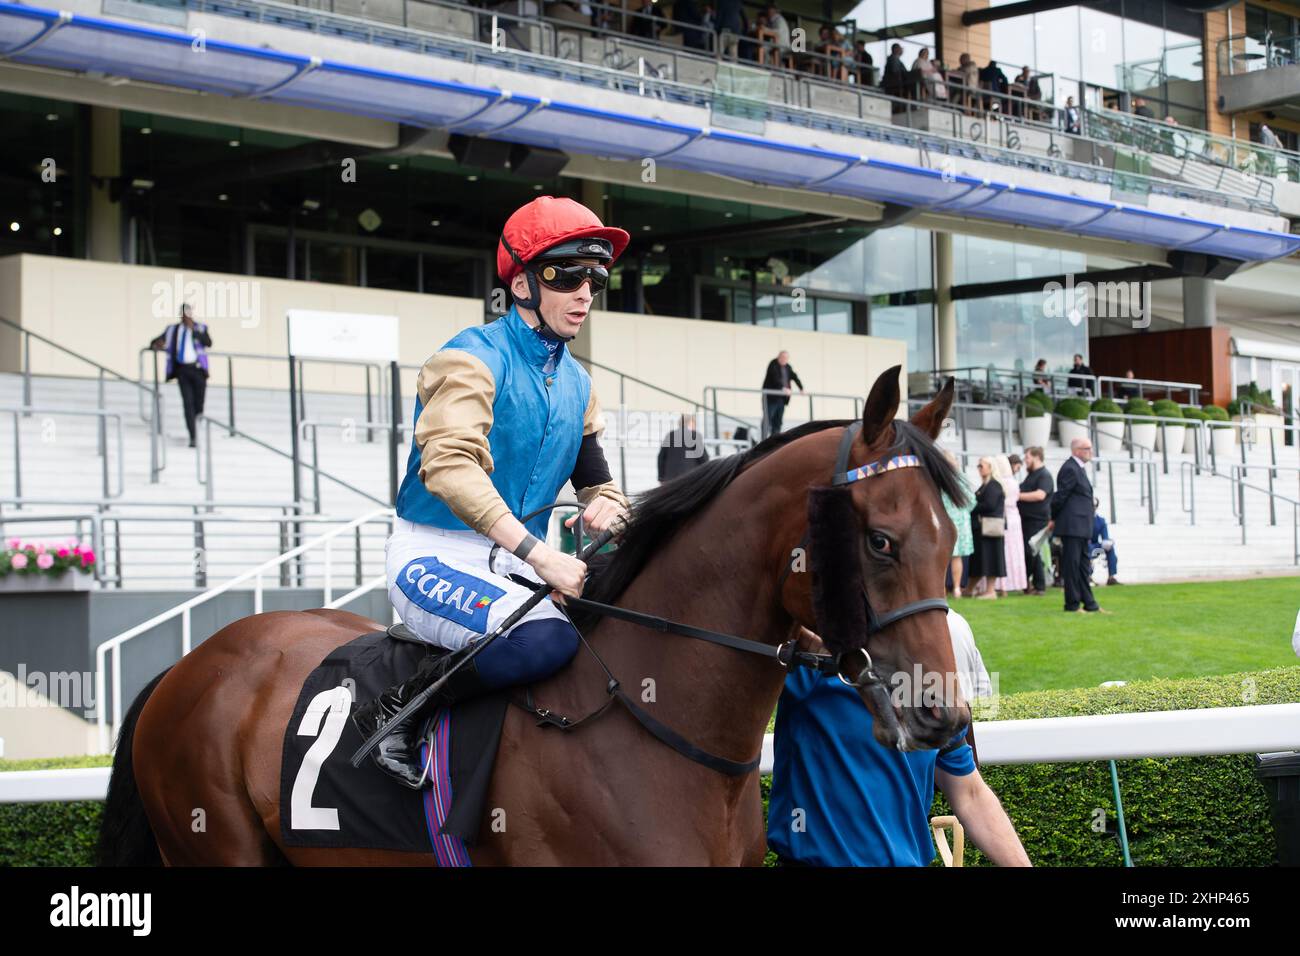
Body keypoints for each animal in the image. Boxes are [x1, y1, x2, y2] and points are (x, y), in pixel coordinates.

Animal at [98, 366, 967, 868]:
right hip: (215, 847)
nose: (943, 713)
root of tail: (185, 666)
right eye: (881, 541)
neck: (648, 725)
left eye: (953, 537)